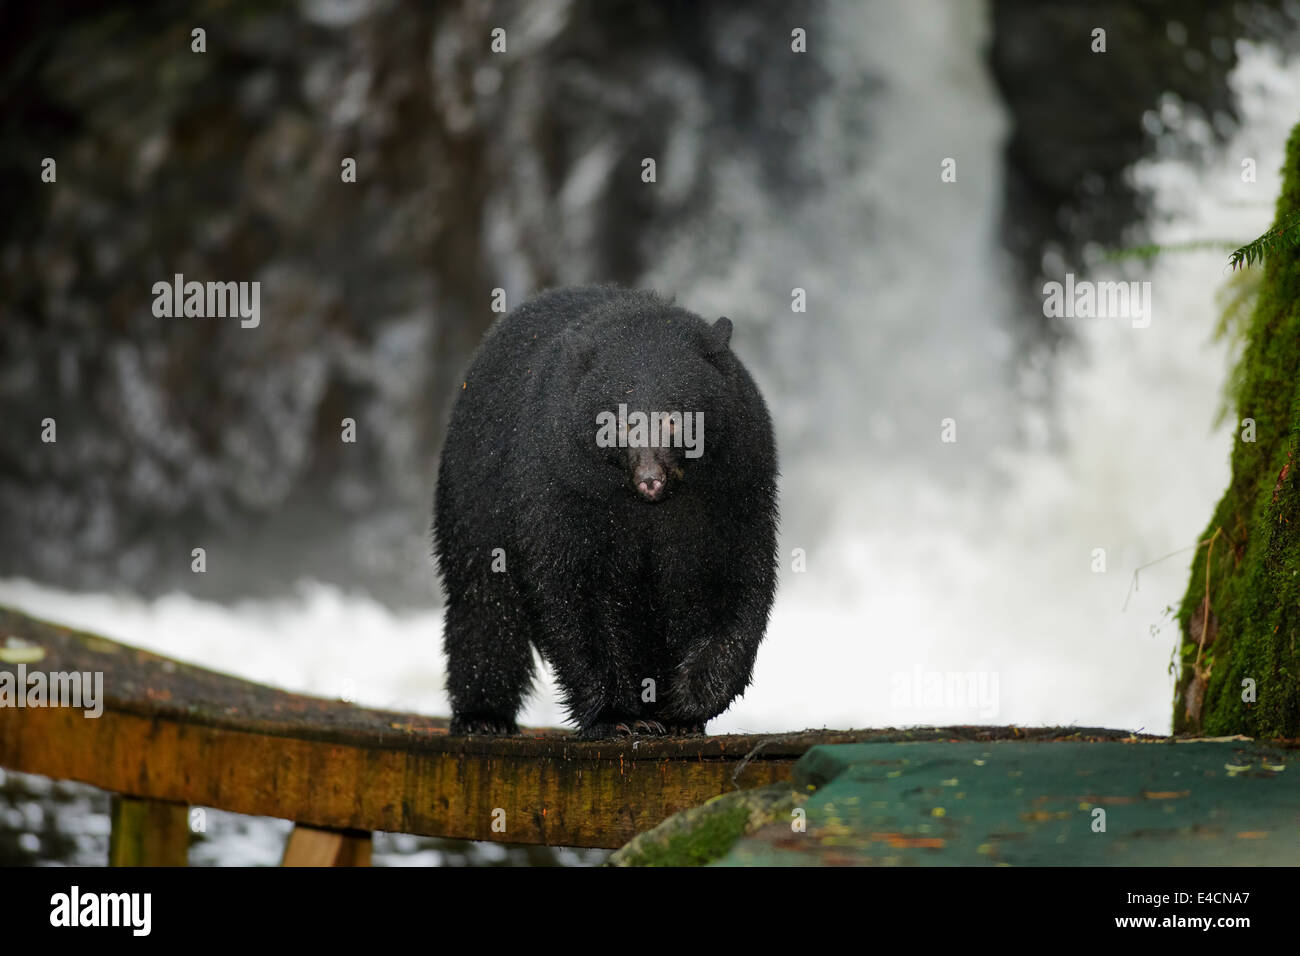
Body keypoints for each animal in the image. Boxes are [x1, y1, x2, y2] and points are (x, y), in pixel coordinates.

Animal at [433, 286, 778, 738]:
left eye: (675, 419)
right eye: (621, 422)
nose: (650, 479)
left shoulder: (734, 479)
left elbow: (733, 575)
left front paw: (687, 703)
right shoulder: (562, 482)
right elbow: (572, 585)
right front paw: (619, 717)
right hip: (476, 483)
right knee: (484, 597)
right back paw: (483, 716)